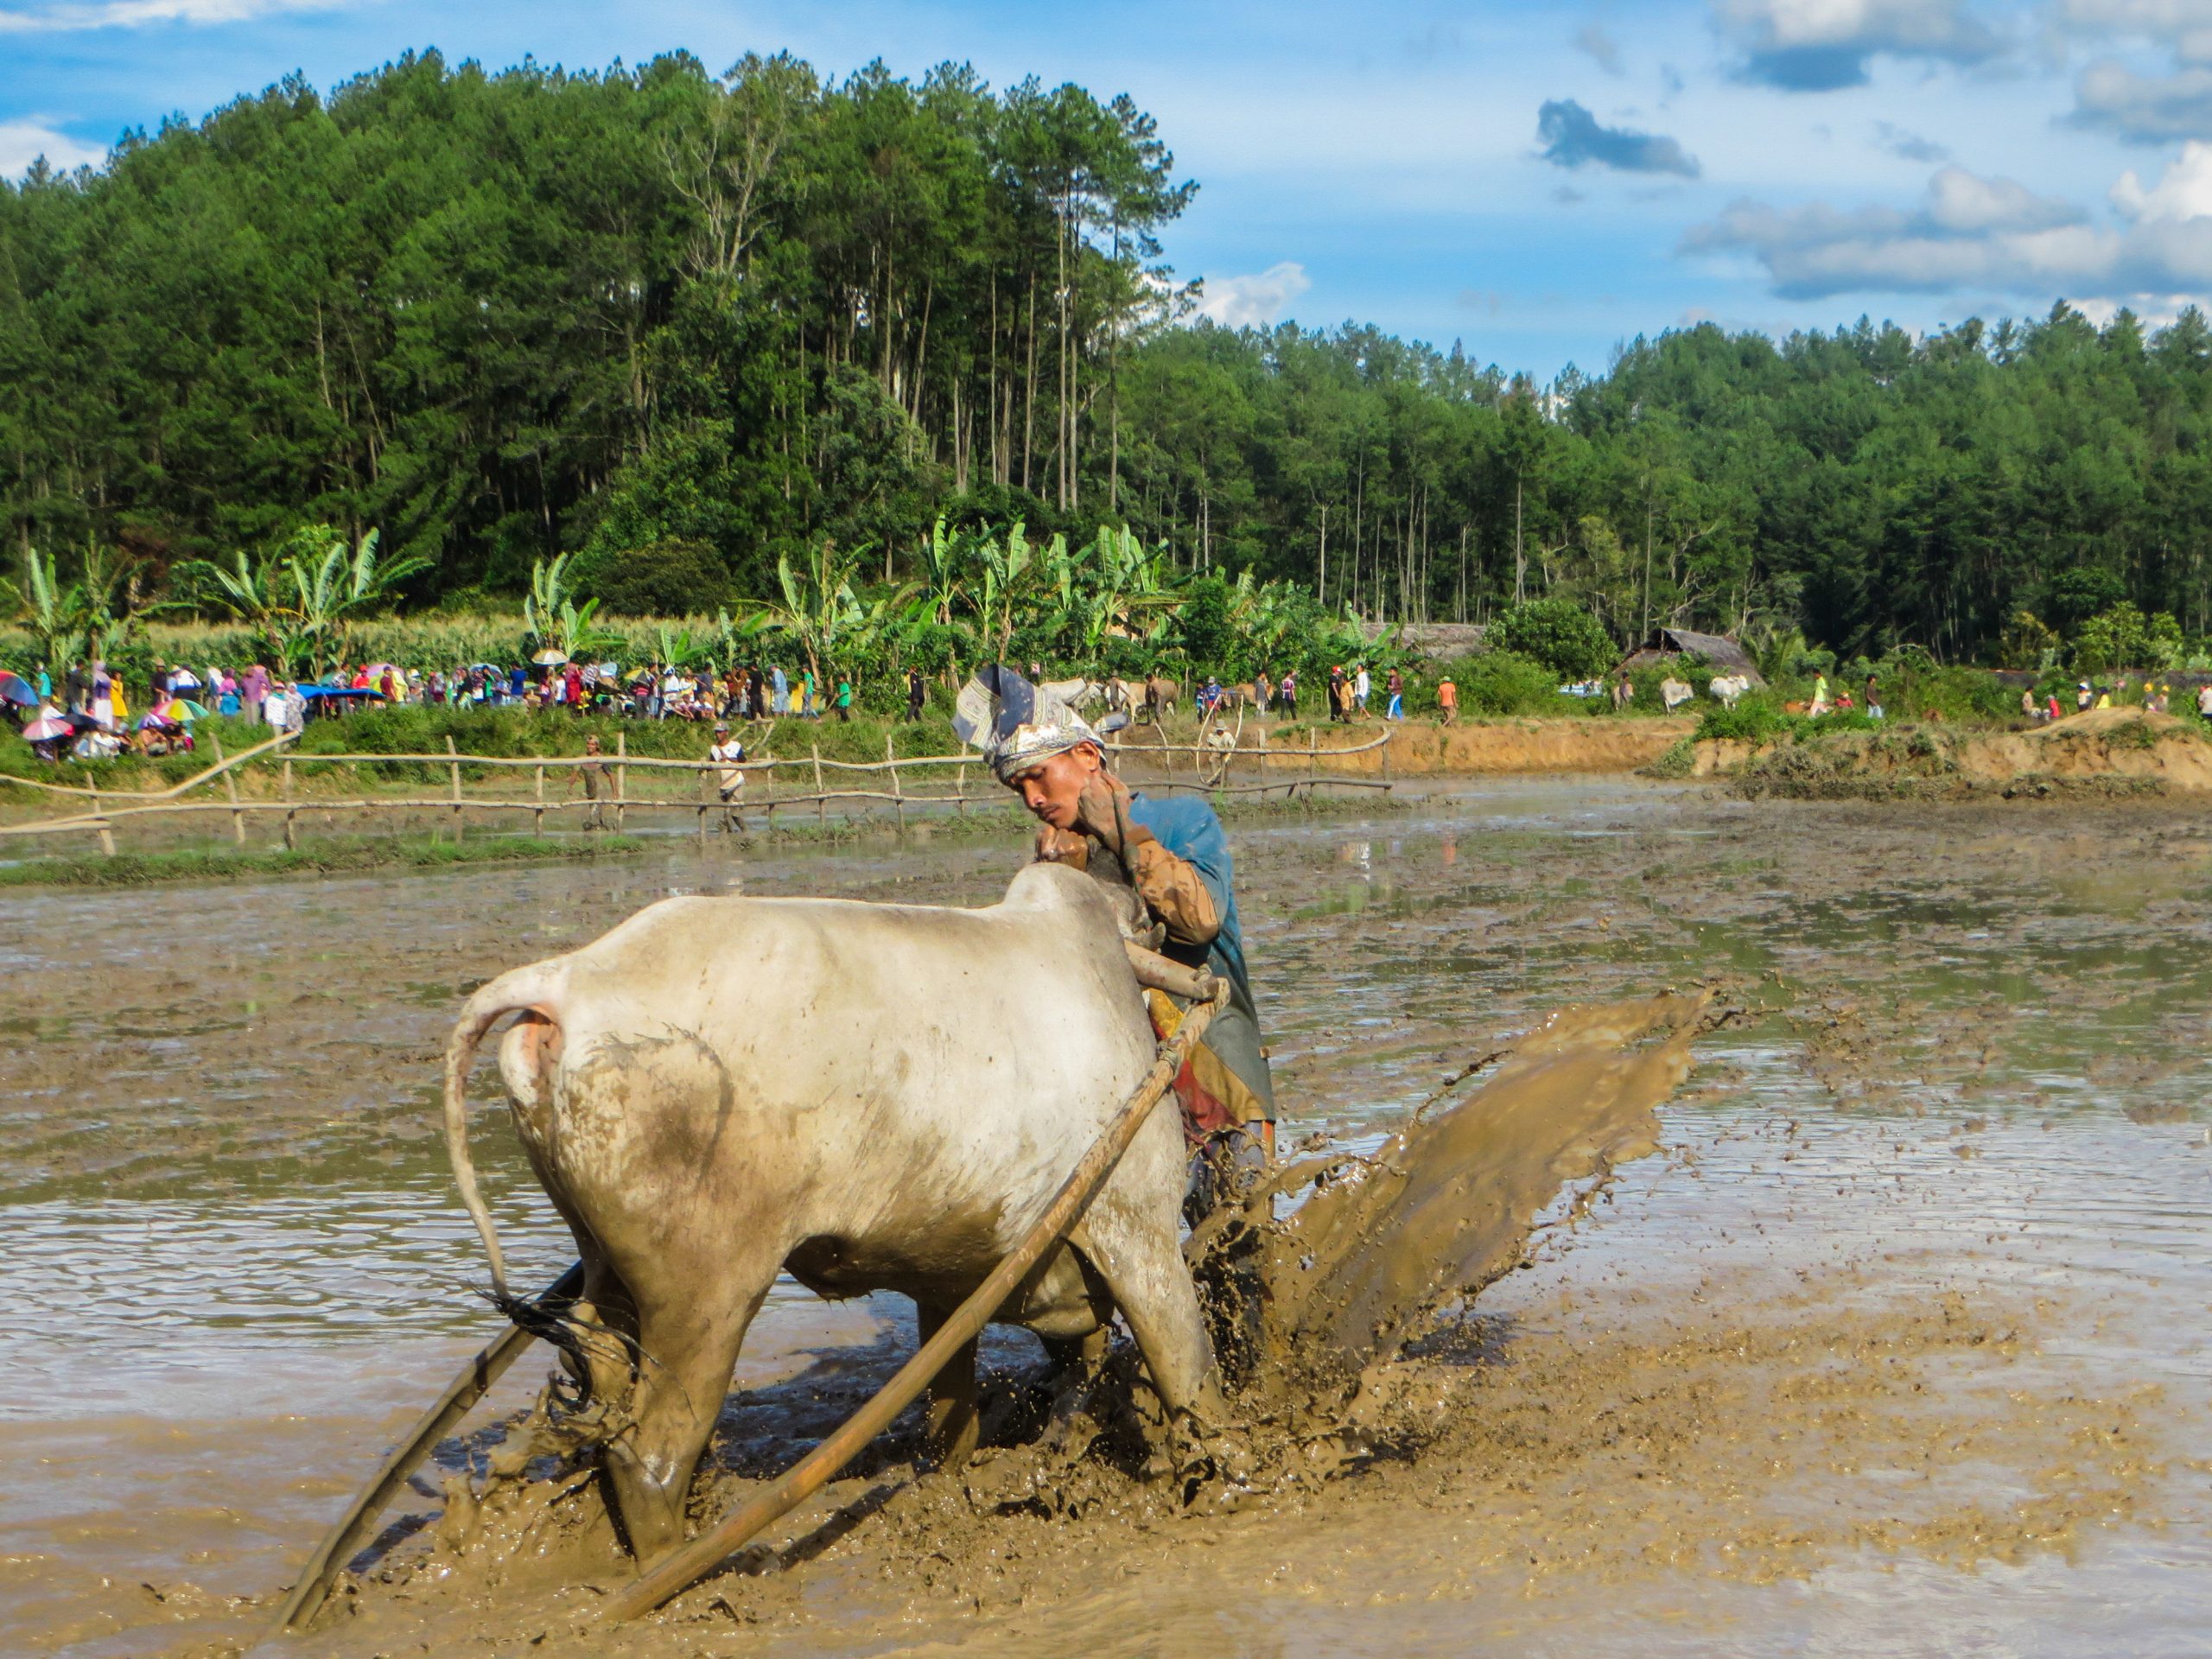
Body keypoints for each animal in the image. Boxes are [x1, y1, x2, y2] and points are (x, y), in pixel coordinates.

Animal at [440, 871, 1221, 1574]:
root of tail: (570, 978)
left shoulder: (948, 1286)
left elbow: (952, 1422)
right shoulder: (1141, 1234)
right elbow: (1190, 1380)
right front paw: (1225, 1476)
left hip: (607, 1271)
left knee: (605, 1398)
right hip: (707, 1296)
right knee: (651, 1457)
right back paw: (674, 1573)